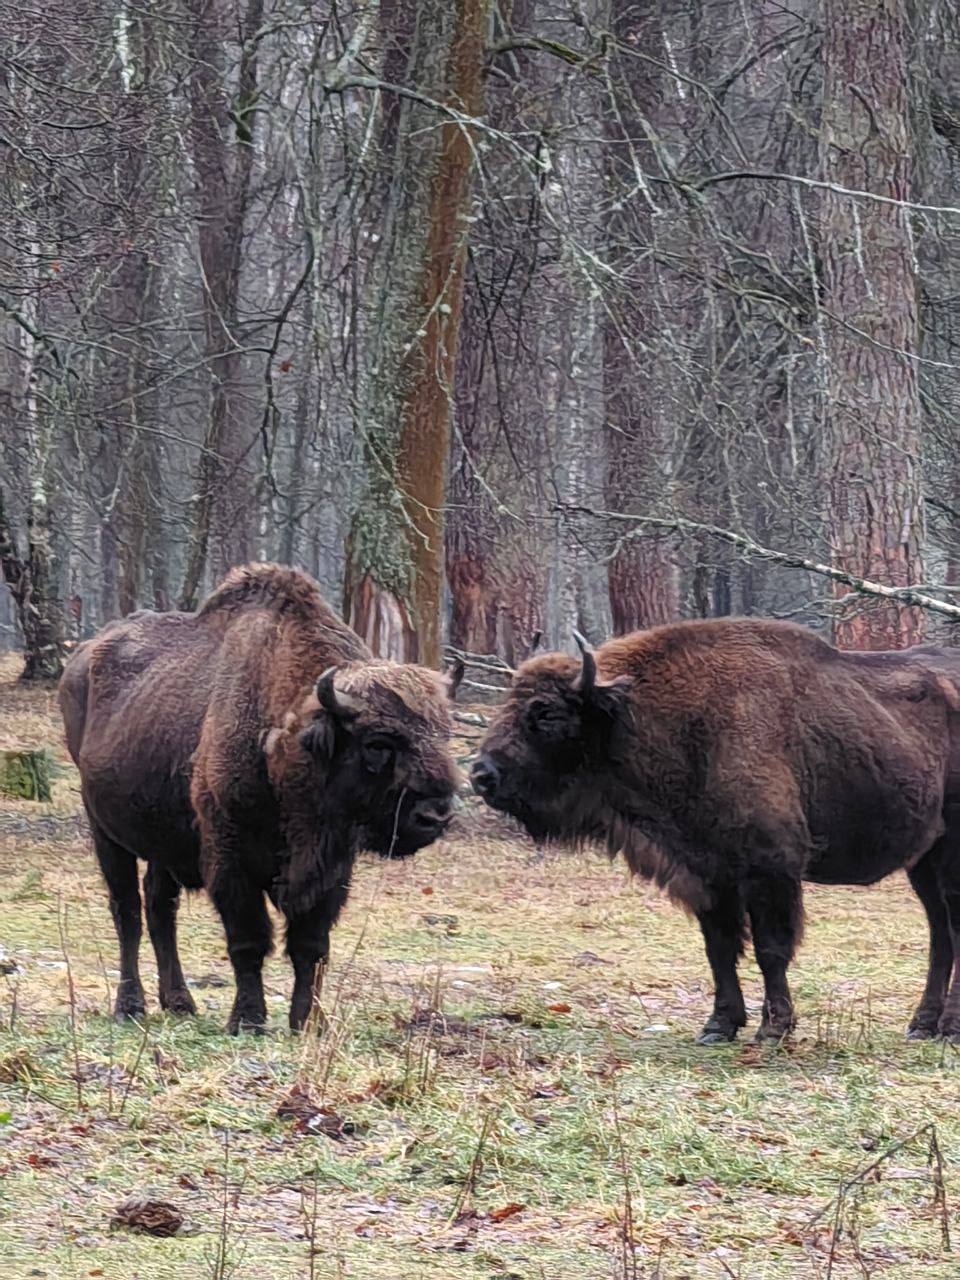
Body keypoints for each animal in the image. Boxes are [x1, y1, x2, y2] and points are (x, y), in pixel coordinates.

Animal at [61, 565, 465, 1034]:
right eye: (378, 744)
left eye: (443, 734)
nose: (435, 815)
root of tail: (80, 659)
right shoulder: (230, 859)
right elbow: (249, 939)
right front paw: (248, 1020)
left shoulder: (331, 869)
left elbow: (311, 945)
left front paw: (308, 1022)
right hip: (104, 830)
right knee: (127, 912)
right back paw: (130, 1006)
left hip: (164, 838)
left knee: (161, 907)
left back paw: (179, 1002)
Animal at [471, 624, 960, 1044]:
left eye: (546, 713)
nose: (481, 775)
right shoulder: (706, 873)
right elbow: (720, 948)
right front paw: (718, 1026)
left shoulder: (769, 869)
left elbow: (770, 949)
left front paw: (773, 1029)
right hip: (925, 861)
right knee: (941, 932)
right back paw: (922, 1024)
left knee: (952, 928)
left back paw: (947, 1028)